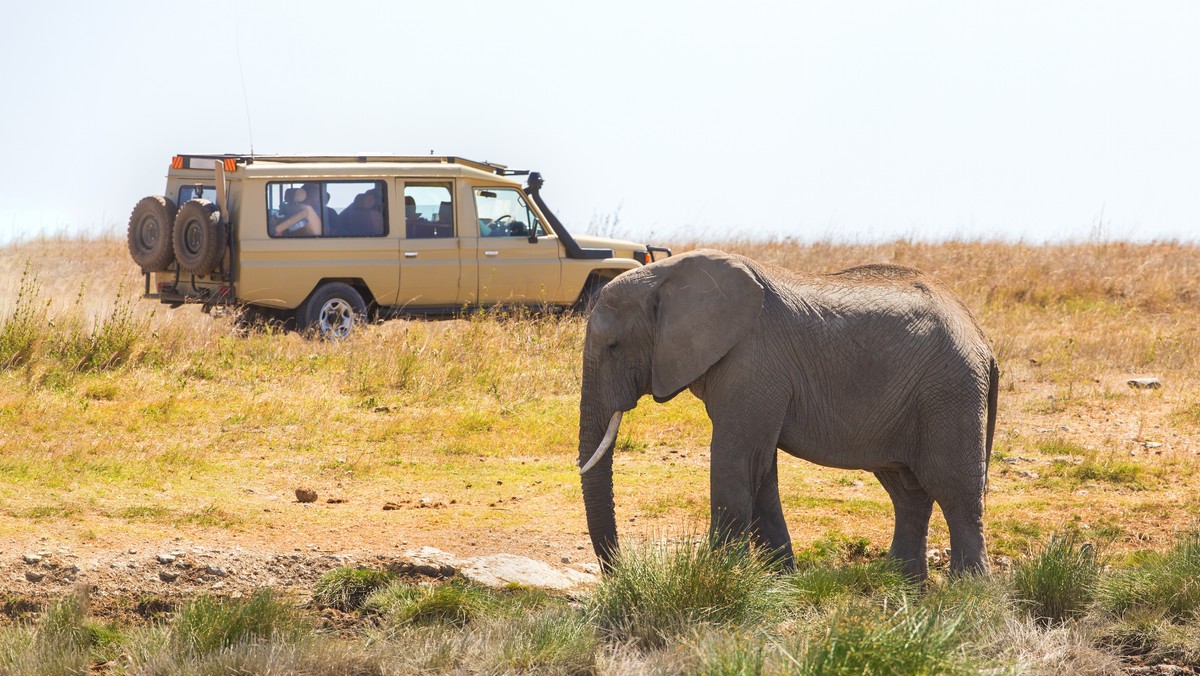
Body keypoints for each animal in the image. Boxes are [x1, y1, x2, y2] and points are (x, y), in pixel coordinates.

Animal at [576, 249, 998, 581]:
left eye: (613, 345)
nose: (619, 574)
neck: (667, 276)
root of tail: (980, 337)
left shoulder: (754, 361)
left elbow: (738, 461)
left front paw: (718, 578)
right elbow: (760, 470)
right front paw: (782, 580)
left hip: (950, 390)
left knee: (955, 492)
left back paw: (968, 592)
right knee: (908, 492)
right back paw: (905, 587)